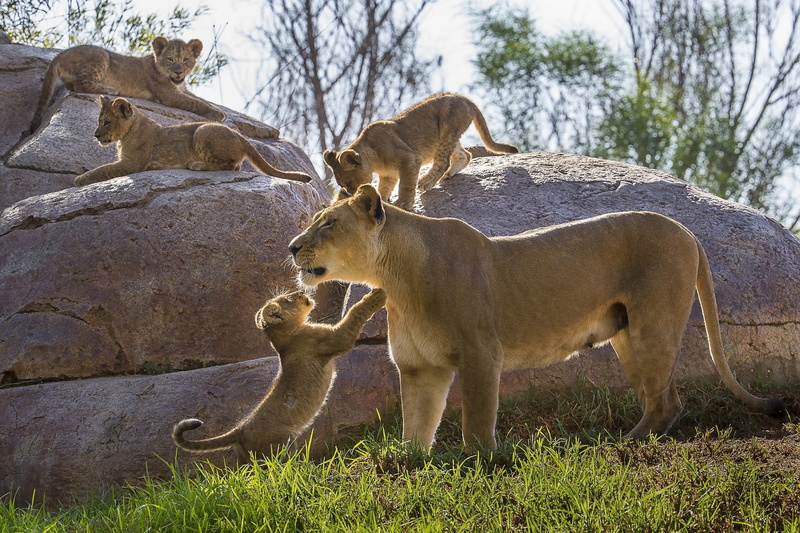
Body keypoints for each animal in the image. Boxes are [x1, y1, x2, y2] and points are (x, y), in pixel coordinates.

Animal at [29, 37, 225, 133]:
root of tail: (59, 54)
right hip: (102, 55)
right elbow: (195, 102)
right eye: (170, 59)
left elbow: (200, 99)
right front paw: (218, 114)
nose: (178, 72)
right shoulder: (168, 95)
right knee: (79, 84)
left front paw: (217, 109)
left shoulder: (182, 88)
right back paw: (111, 89)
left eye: (185, 60)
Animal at [73, 97, 312, 186]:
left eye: (106, 122)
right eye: (99, 121)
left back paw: (196, 165)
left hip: (202, 131)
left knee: (232, 166)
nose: (95, 135)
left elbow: (103, 169)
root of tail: (242, 137)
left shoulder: (132, 163)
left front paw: (78, 180)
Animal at [173, 288, 387, 459]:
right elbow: (354, 313)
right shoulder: (332, 340)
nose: (300, 291)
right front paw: (377, 296)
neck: (284, 337)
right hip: (283, 443)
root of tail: (240, 429)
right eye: (289, 298)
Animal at [288, 185, 787, 450]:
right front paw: (409, 466)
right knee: (664, 396)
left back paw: (624, 444)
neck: (397, 281)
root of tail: (689, 231)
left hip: (654, 325)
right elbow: (417, 429)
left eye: (328, 223)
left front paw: (477, 462)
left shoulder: (480, 354)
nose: (292, 247)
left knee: (665, 402)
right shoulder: (419, 369)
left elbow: (476, 422)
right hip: (627, 336)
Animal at [323, 93, 518, 210]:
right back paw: (448, 175)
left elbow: (406, 184)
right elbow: (384, 188)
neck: (373, 160)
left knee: (443, 161)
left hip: (448, 126)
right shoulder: (388, 175)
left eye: (349, 183)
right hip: (447, 137)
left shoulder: (409, 159)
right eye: (343, 185)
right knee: (465, 155)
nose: (349, 194)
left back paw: (427, 181)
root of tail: (463, 96)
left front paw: (403, 204)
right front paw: (382, 201)